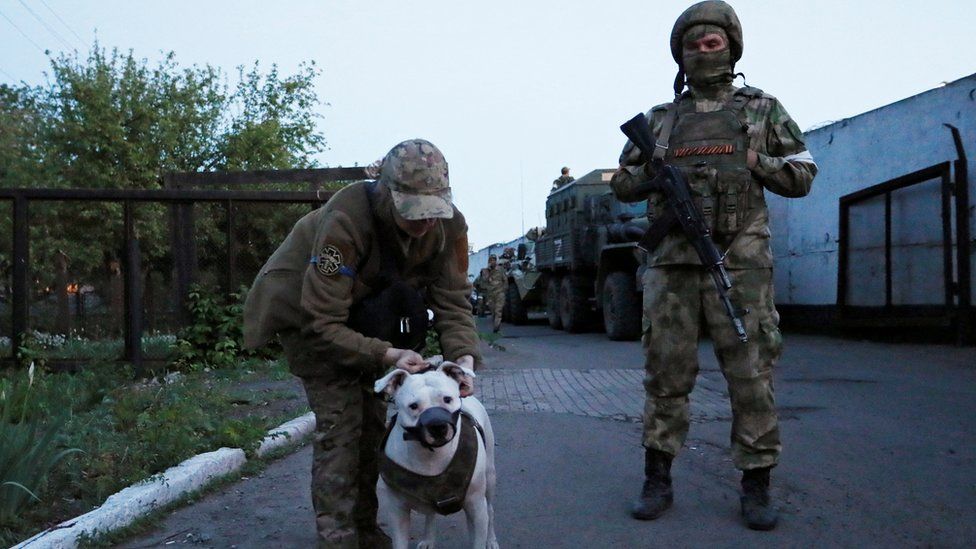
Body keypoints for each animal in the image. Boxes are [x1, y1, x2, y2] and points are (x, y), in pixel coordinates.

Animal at [372, 360, 500, 548]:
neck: (430, 455)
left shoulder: (476, 508)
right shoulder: (397, 511)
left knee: (490, 510)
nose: (437, 426)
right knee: (430, 514)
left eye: (447, 399)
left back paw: (491, 540)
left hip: (490, 478)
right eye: (413, 406)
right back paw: (428, 540)